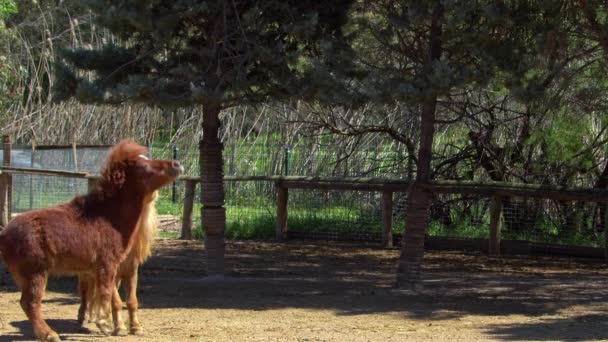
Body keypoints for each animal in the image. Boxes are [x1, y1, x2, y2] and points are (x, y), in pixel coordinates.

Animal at [76, 188, 159, 336]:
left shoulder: (131, 272)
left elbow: (132, 301)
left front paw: (136, 327)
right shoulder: (109, 272)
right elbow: (116, 302)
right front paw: (120, 328)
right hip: (84, 276)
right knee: (85, 296)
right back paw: (82, 320)